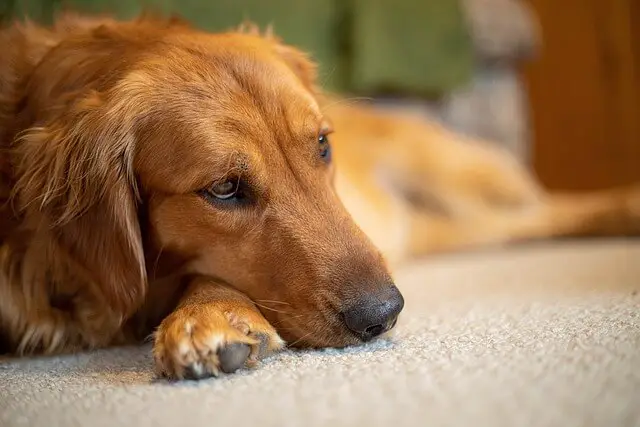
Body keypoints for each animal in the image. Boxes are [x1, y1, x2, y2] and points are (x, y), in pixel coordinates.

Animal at [1, 15, 640, 380]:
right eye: (224, 189)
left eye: (323, 145)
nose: (385, 313)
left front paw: (210, 314)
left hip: (457, 173)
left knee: (540, 207)